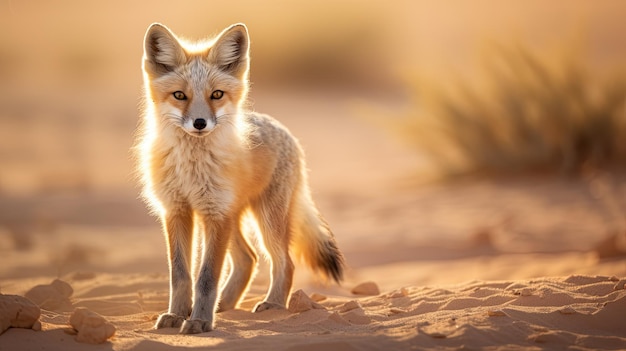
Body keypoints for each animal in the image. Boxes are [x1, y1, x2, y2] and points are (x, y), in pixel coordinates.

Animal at [133, 22, 344, 336]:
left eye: (217, 95)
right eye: (179, 96)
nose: (199, 123)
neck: (192, 166)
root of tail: (285, 131)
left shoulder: (214, 213)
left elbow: (207, 277)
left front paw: (200, 321)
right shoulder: (177, 211)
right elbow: (181, 275)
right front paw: (178, 314)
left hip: (264, 219)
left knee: (284, 262)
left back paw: (272, 304)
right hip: (230, 220)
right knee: (248, 259)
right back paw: (224, 305)